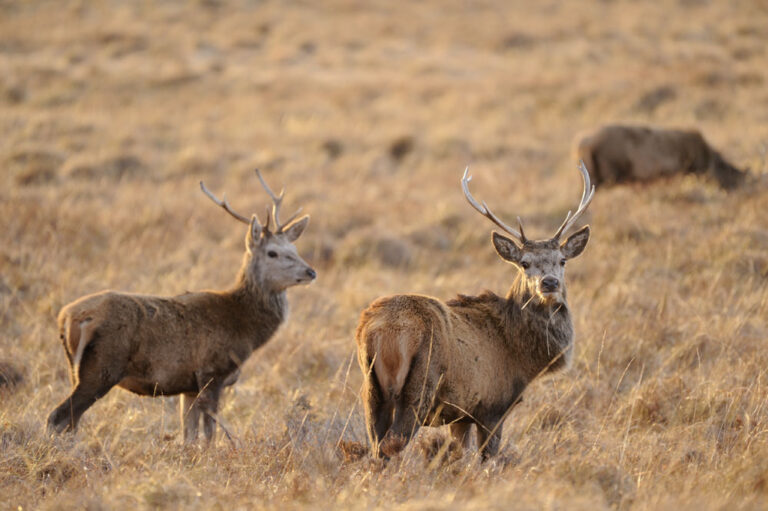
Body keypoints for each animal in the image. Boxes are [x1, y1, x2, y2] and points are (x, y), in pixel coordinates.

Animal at [47, 169, 316, 443]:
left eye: (294, 248)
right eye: (272, 253)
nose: (310, 272)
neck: (243, 327)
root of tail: (66, 317)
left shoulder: (189, 385)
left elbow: (189, 436)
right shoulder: (212, 372)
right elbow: (208, 435)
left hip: (76, 370)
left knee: (70, 421)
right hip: (101, 367)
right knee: (59, 417)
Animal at [355, 163, 594, 459]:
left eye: (562, 260)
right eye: (524, 263)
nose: (549, 283)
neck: (521, 356)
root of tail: (385, 330)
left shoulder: (460, 415)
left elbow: (459, 453)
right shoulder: (493, 407)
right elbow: (487, 458)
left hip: (370, 389)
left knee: (376, 444)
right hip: (418, 387)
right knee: (392, 444)